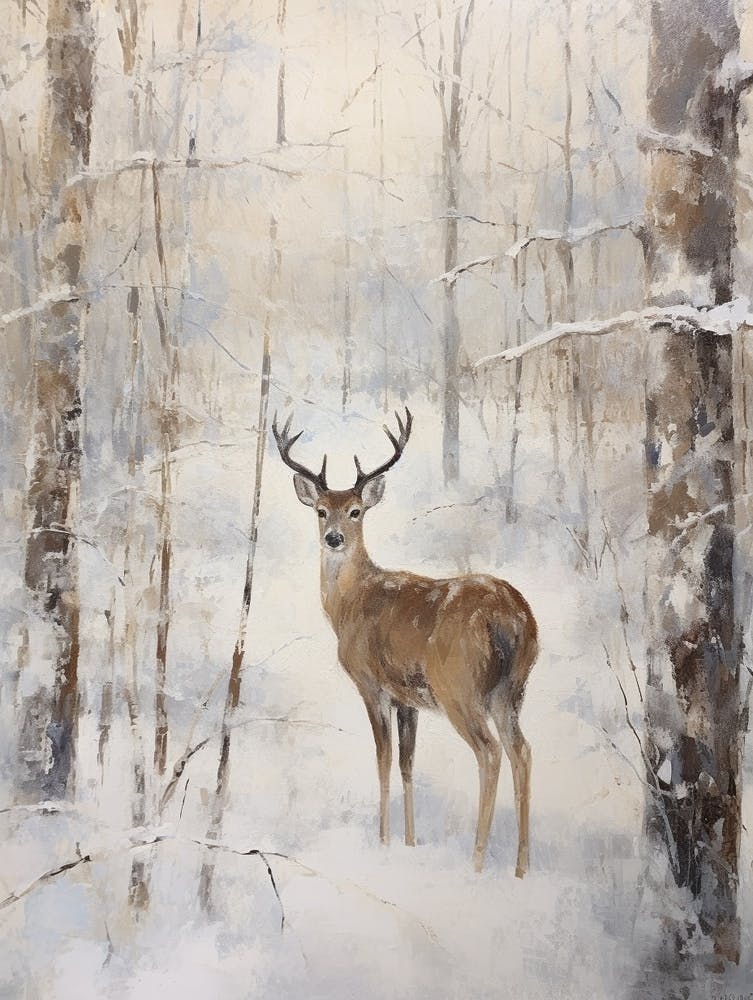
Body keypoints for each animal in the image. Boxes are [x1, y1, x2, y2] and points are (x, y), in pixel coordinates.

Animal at [273, 408, 538, 876]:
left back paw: (477, 860)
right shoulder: (407, 699)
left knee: (490, 753)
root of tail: (510, 617)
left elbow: (381, 761)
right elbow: (407, 764)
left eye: (355, 511)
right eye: (321, 511)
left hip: (459, 687)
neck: (350, 604)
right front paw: (410, 843)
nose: (334, 538)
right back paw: (521, 867)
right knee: (521, 751)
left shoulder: (371, 682)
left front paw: (382, 842)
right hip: (511, 689)